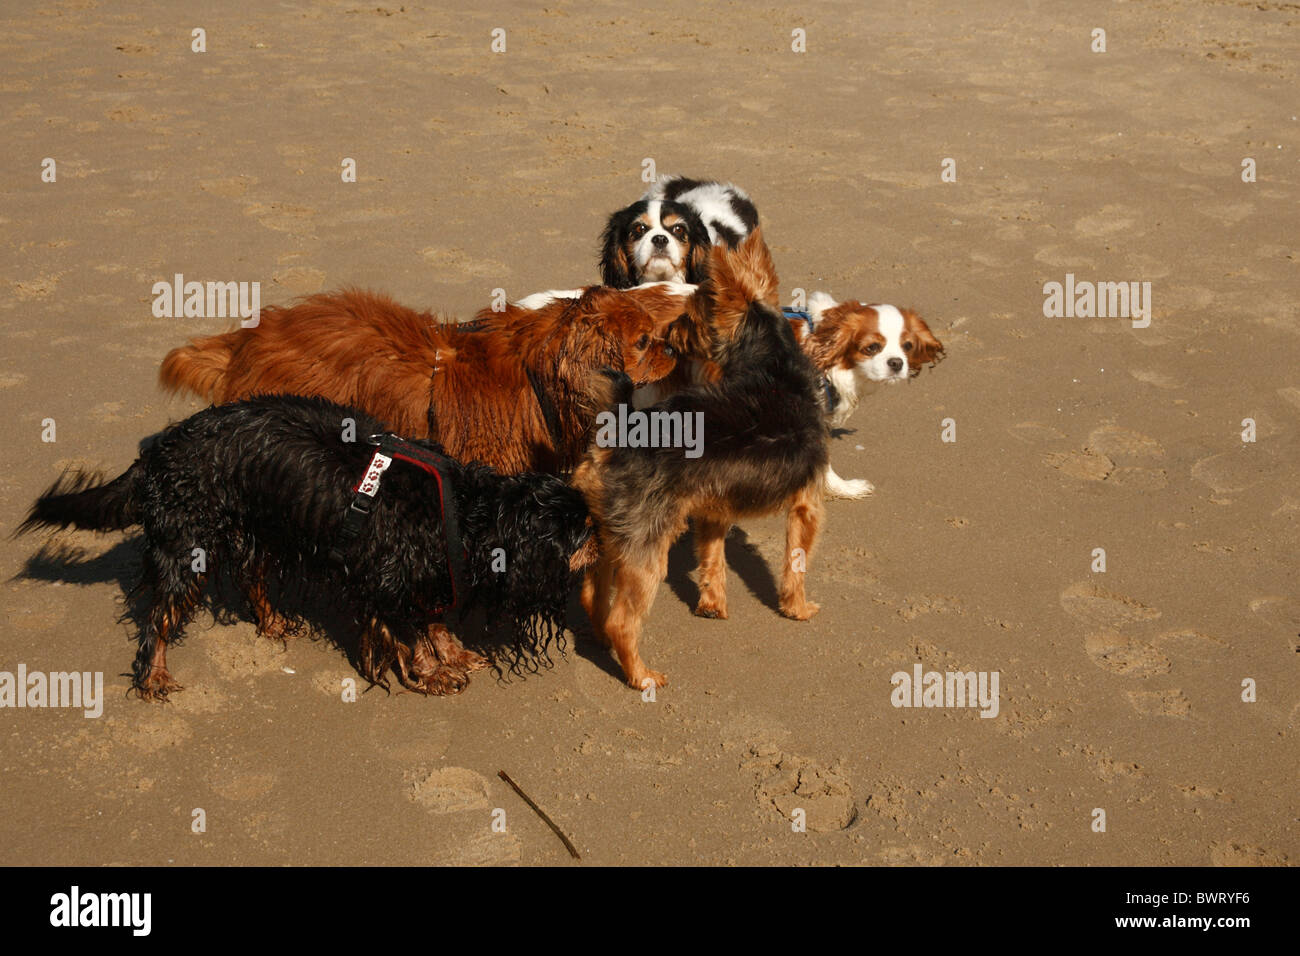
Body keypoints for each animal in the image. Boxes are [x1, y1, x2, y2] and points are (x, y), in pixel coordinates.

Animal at [17, 392, 595, 697]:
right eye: (583, 531)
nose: (604, 534)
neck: (463, 512)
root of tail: (155, 454)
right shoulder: (386, 577)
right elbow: (407, 631)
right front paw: (432, 672)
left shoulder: (423, 571)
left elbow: (430, 617)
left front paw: (452, 653)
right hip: (187, 542)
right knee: (160, 614)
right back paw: (155, 674)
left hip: (259, 528)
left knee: (251, 575)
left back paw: (273, 621)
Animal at [574, 234, 826, 697]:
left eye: (687, 319)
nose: (666, 338)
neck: (774, 366)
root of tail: (617, 438)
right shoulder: (807, 505)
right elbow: (796, 563)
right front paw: (797, 608)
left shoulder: (713, 509)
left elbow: (712, 559)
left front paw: (712, 605)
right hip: (647, 547)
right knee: (624, 621)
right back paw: (641, 676)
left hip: (610, 535)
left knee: (593, 595)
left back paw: (602, 641)